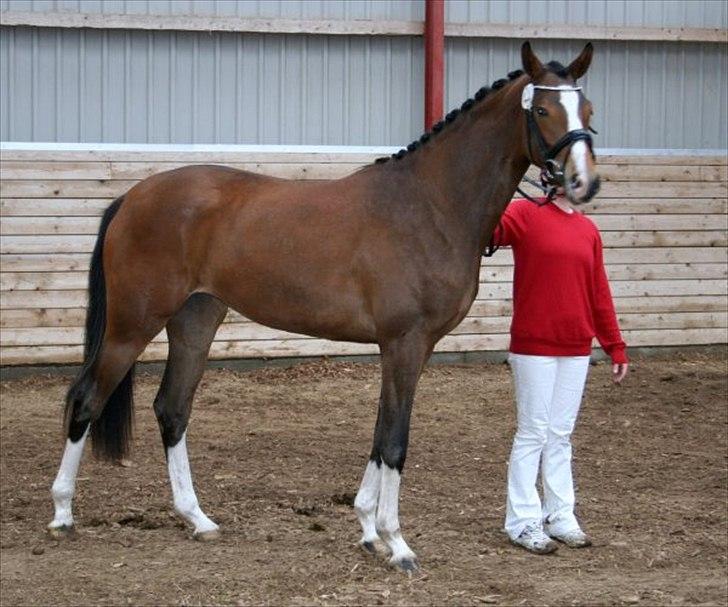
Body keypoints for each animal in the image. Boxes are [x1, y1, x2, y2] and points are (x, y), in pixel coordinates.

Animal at [48, 42, 600, 576]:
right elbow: (395, 441)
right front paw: (397, 544)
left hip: (196, 320)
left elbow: (380, 434)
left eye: (588, 110)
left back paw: (197, 518)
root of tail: (133, 196)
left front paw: (369, 530)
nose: (583, 183)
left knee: (172, 409)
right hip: (132, 324)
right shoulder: (404, 343)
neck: (428, 206)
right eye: (544, 109)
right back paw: (62, 513)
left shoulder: (409, 350)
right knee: (86, 398)